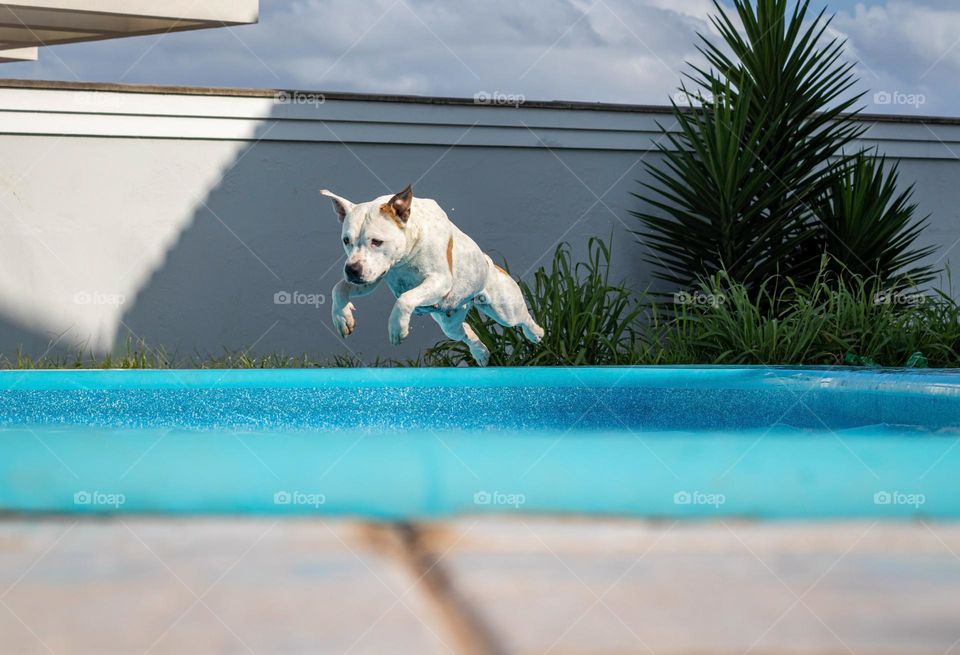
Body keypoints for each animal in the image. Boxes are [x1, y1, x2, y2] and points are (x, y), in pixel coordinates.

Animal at [322, 184, 544, 366]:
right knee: (465, 331)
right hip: (449, 324)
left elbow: (405, 298)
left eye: (377, 241)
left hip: (504, 309)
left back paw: (536, 333)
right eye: (346, 241)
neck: (405, 254)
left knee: (522, 318)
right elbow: (338, 288)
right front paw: (342, 317)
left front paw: (397, 328)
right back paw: (480, 353)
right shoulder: (372, 277)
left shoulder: (439, 280)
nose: (351, 269)